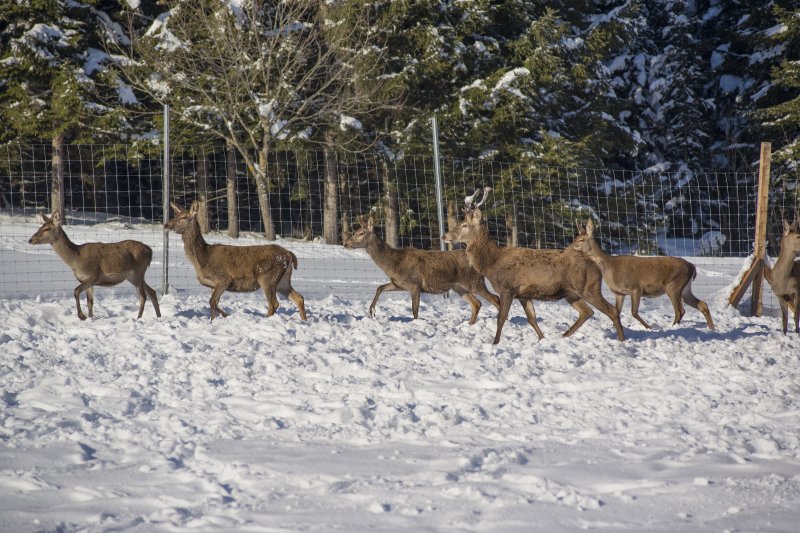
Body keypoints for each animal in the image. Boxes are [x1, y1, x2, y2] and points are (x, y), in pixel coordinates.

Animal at [28, 211, 162, 320]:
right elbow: (90, 302)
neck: (76, 260)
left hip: (138, 272)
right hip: (134, 276)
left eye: (46, 229)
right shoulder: (86, 280)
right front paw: (90, 317)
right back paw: (158, 316)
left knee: (143, 296)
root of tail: (149, 251)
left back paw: (138, 318)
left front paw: (82, 316)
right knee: (152, 292)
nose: (30, 240)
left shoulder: (93, 276)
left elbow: (76, 291)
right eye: (40, 227)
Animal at [165, 202, 306, 320]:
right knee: (299, 298)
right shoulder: (213, 285)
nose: (166, 225)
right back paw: (304, 321)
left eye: (183, 217)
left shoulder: (223, 279)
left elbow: (212, 302)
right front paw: (214, 320)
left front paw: (226, 316)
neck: (203, 259)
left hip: (267, 277)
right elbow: (214, 304)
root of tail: (289, 254)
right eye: (176, 215)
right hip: (282, 280)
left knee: (274, 303)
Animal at [344, 214, 500, 322]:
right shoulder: (400, 283)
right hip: (460, 287)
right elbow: (380, 287)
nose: (346, 244)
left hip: (474, 281)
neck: (394, 264)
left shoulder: (415, 284)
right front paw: (371, 310)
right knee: (477, 303)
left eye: (361, 233)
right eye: (355, 231)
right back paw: (470, 324)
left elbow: (415, 311)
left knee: (495, 299)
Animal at [444, 189, 624, 342]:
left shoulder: (507, 289)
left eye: (464, 225)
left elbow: (501, 319)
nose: (445, 235)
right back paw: (564, 336)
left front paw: (494, 343)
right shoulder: (524, 295)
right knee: (587, 312)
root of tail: (595, 265)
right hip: (571, 293)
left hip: (589, 287)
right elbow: (532, 319)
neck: (492, 263)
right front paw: (542, 339)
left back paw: (622, 341)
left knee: (611, 311)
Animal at [564, 219, 716, 328]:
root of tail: (692, 267)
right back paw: (712, 329)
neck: (610, 267)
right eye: (575, 237)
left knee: (680, 310)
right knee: (702, 304)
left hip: (673, 285)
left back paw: (672, 327)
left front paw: (649, 327)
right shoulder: (619, 293)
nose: (569, 248)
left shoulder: (635, 287)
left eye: (581, 240)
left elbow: (634, 312)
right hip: (685, 288)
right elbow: (617, 310)